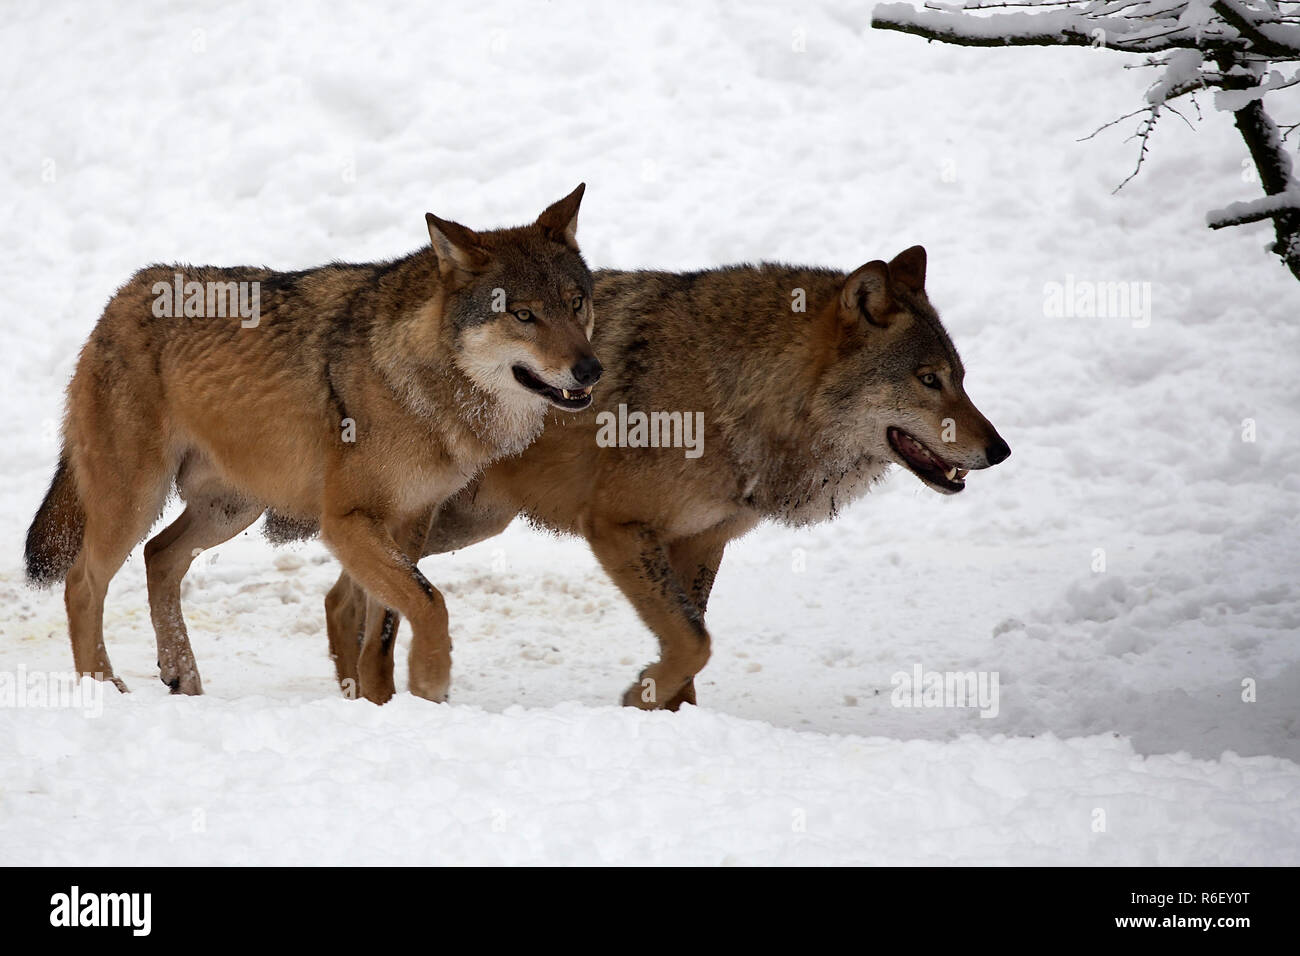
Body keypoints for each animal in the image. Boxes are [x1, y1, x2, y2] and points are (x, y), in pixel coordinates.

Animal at [21, 184, 598, 702]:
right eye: (523, 315)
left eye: (576, 305)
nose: (591, 369)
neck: (425, 378)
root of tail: (120, 297)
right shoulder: (344, 522)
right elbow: (430, 603)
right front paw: (430, 684)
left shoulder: (409, 521)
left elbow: (384, 628)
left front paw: (380, 703)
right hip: (135, 502)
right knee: (82, 582)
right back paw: (102, 685)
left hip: (231, 510)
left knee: (159, 555)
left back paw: (181, 674)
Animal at [319, 247, 1008, 712]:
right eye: (928, 380)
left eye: (961, 377)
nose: (1000, 450)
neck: (734, 391)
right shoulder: (618, 529)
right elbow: (693, 643)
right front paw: (639, 699)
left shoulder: (701, 541)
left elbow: (693, 645)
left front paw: (678, 721)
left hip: (461, 525)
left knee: (343, 592)